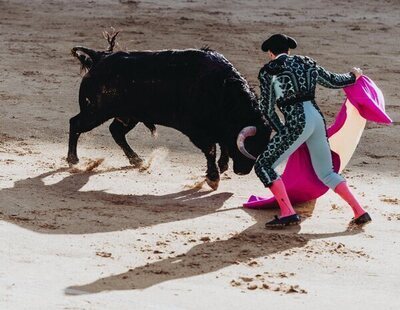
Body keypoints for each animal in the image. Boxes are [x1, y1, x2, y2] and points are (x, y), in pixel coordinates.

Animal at [68, 47, 272, 190]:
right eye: (251, 145)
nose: (243, 171)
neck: (222, 92)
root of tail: (100, 57)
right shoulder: (196, 131)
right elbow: (211, 149)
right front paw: (213, 178)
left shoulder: (219, 129)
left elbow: (224, 144)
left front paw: (222, 167)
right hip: (96, 112)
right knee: (75, 124)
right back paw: (72, 159)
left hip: (129, 116)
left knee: (116, 131)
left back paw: (137, 160)